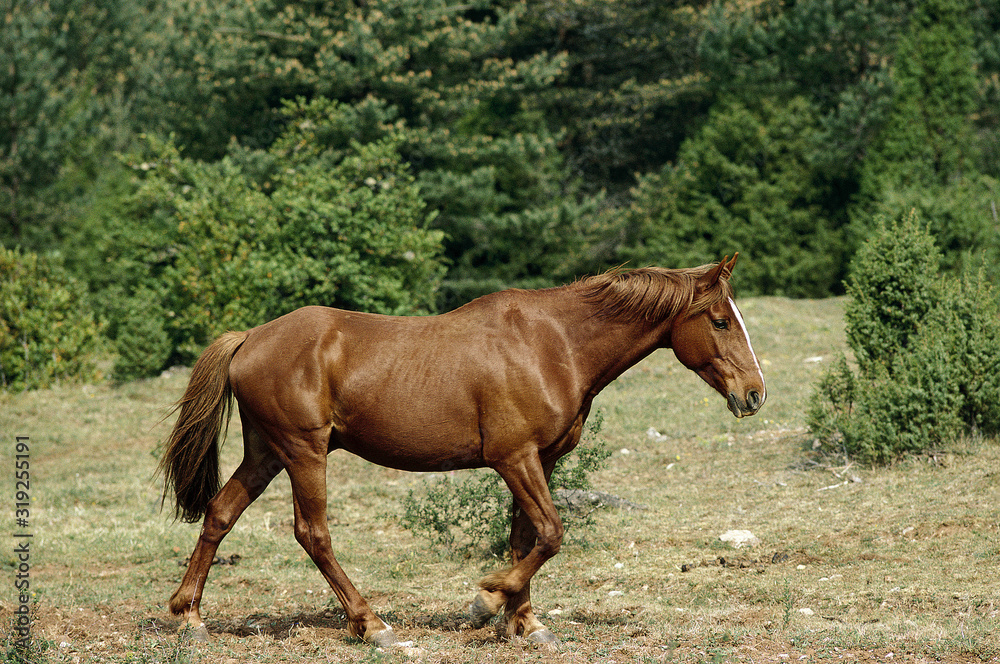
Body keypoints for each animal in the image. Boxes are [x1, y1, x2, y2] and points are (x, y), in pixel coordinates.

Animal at [158, 254, 764, 648]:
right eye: (719, 320)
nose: (755, 393)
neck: (554, 344)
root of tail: (250, 338)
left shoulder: (539, 460)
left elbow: (525, 537)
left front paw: (525, 624)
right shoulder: (513, 458)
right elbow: (550, 534)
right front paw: (490, 599)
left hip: (266, 453)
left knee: (220, 514)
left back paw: (189, 616)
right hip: (304, 452)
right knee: (313, 534)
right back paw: (372, 625)